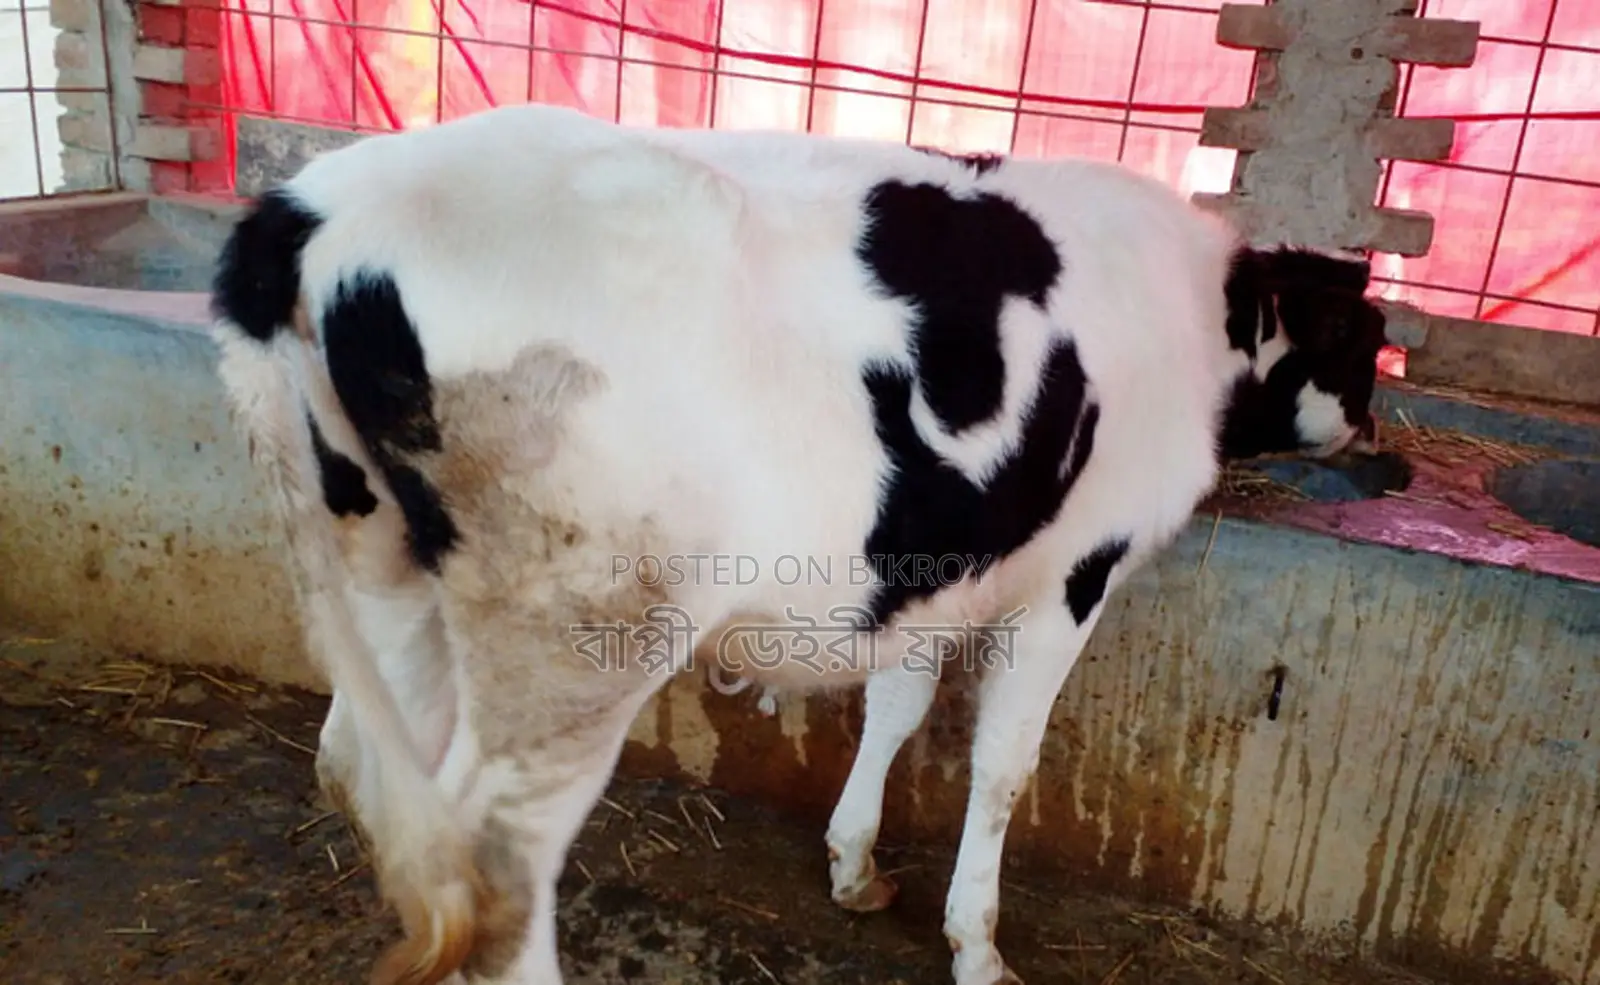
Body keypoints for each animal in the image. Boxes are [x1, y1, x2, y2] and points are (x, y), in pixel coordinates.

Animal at [207, 101, 1387, 985]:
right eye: (1361, 340)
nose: (1376, 435)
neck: (1199, 320)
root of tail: (315, 209)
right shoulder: (1073, 571)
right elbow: (1004, 763)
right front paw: (977, 945)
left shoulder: (935, 561)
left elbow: (899, 704)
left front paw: (855, 863)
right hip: (581, 629)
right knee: (493, 859)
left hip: (383, 564)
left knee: (360, 765)